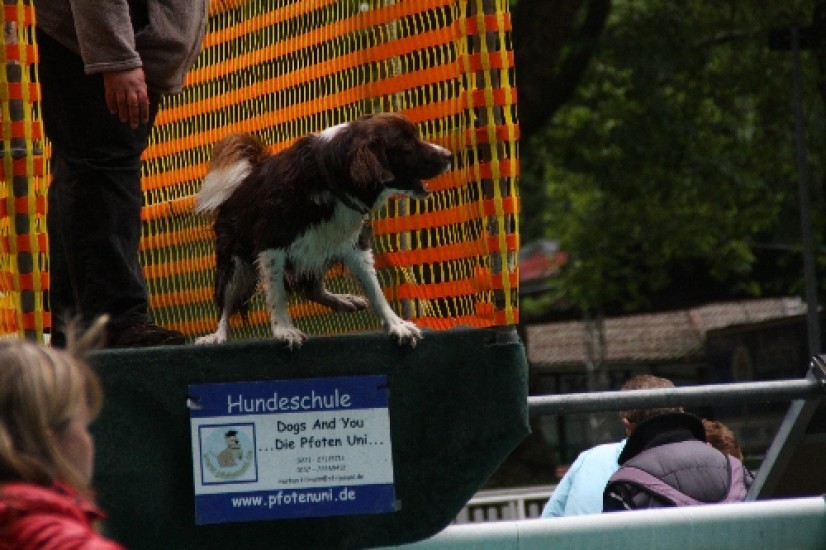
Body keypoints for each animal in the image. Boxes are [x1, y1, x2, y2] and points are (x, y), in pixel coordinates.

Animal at [194, 112, 453, 349]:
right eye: (407, 144)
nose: (449, 155)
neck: (330, 177)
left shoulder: (353, 244)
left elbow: (375, 290)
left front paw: (397, 325)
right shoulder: (271, 243)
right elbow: (277, 293)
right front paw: (284, 329)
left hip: (318, 249)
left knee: (312, 289)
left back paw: (343, 300)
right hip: (236, 264)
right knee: (227, 303)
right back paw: (217, 335)